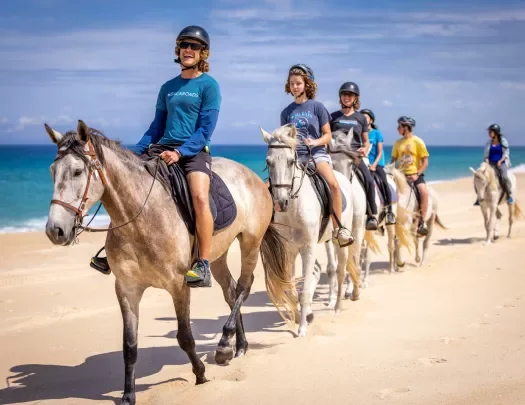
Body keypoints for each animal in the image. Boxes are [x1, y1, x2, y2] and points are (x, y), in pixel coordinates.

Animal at [43, 120, 296, 404]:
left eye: (77, 171)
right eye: (53, 171)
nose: (55, 231)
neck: (141, 217)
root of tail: (252, 176)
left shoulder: (179, 286)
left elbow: (184, 336)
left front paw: (200, 374)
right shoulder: (127, 289)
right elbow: (129, 346)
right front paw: (128, 395)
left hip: (250, 242)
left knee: (244, 286)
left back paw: (223, 346)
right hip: (217, 255)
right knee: (231, 291)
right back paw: (238, 346)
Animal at [258, 124, 376, 336]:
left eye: (290, 162)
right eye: (268, 162)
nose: (280, 202)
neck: (294, 207)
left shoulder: (309, 246)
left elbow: (304, 290)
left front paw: (302, 328)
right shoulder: (288, 249)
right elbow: (292, 288)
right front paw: (299, 317)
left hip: (345, 237)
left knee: (344, 267)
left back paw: (338, 306)